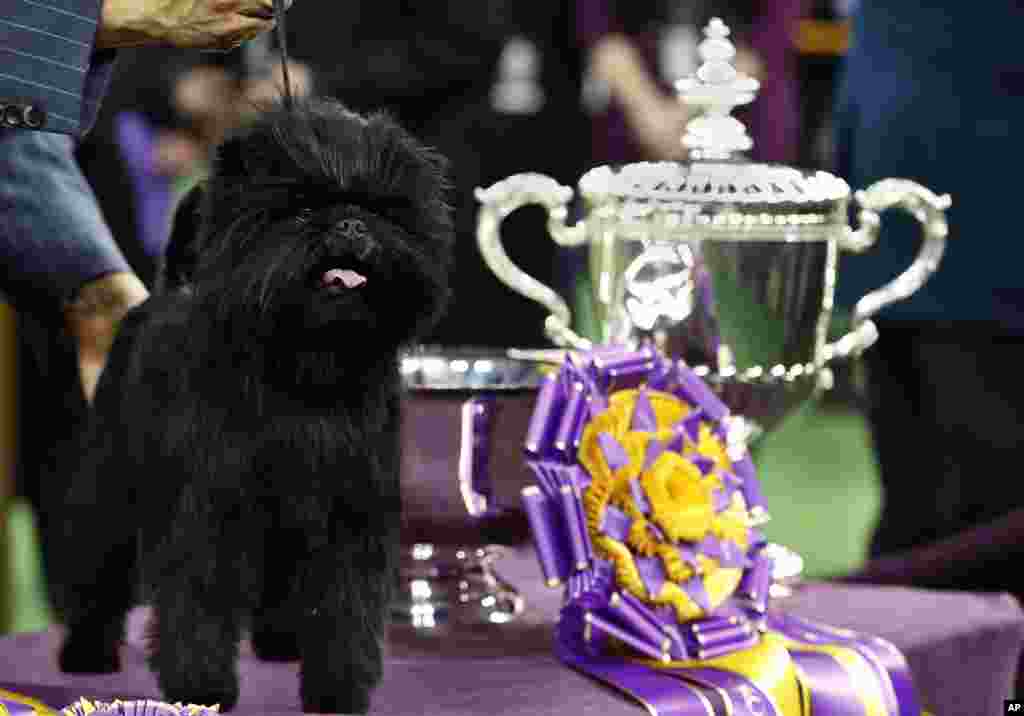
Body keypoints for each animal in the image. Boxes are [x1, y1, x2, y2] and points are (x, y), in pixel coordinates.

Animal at [52, 97, 452, 712]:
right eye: (304, 206)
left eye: (380, 209)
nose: (351, 222)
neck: (310, 365)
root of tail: (164, 295)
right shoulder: (214, 510)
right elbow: (201, 601)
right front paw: (202, 688)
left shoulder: (349, 517)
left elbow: (345, 609)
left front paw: (339, 691)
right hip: (111, 483)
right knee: (99, 571)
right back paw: (86, 652)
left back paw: (281, 644)